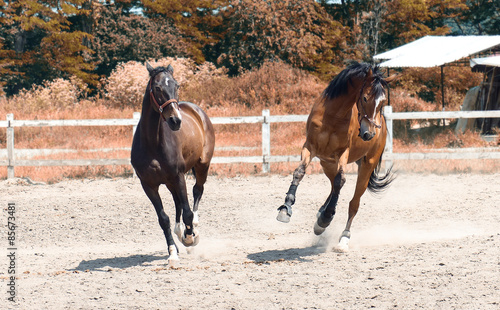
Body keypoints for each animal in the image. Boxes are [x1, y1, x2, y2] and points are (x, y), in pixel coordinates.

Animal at [131, 64, 215, 262]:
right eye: (157, 88)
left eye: (177, 85)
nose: (175, 120)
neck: (152, 143)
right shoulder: (148, 185)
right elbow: (163, 218)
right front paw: (172, 251)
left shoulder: (178, 176)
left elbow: (187, 212)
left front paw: (190, 238)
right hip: (170, 181)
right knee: (177, 201)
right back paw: (179, 232)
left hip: (202, 166)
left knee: (197, 192)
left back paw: (193, 230)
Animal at [276, 61, 396, 251]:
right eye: (364, 98)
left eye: (383, 102)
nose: (369, 134)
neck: (334, 115)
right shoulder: (309, 147)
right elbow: (299, 172)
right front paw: (285, 208)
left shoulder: (342, 154)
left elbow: (341, 182)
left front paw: (327, 218)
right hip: (327, 164)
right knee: (333, 187)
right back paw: (321, 216)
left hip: (366, 166)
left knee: (353, 203)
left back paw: (342, 237)